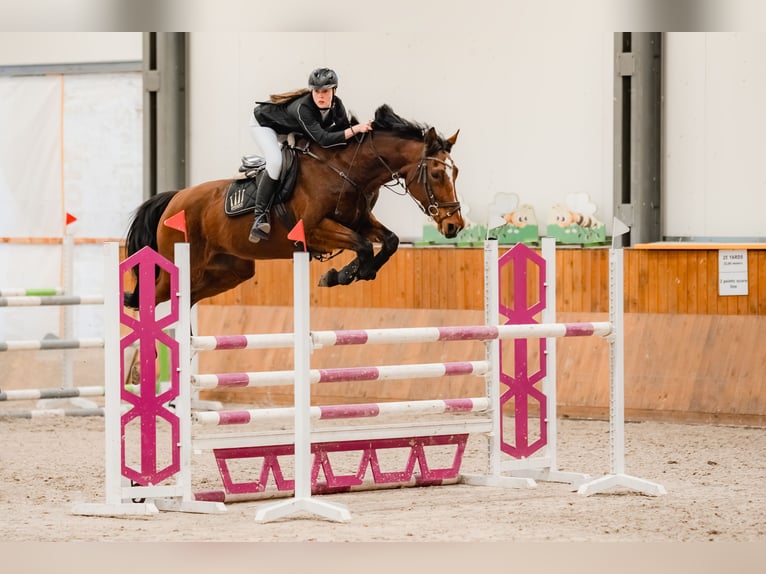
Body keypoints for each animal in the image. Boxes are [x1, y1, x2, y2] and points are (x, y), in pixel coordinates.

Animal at [123, 103, 464, 310]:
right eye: (436, 174)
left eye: (456, 172)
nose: (454, 225)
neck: (347, 170)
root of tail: (174, 199)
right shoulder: (314, 230)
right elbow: (364, 245)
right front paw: (343, 274)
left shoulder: (359, 221)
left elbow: (388, 241)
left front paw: (348, 274)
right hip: (181, 263)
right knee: (150, 298)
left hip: (228, 271)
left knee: (186, 299)